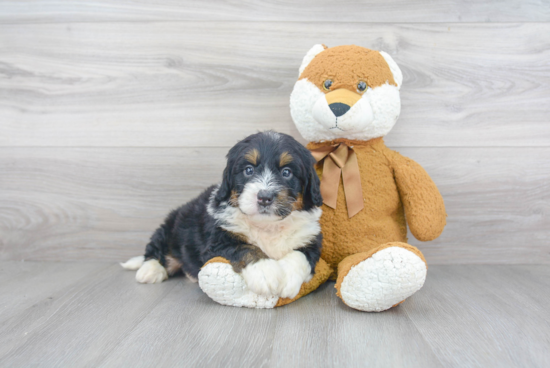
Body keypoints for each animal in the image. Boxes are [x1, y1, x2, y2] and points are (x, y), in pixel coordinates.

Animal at [121, 132, 324, 300]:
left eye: (286, 172)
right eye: (248, 170)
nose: (265, 197)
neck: (268, 226)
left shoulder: (311, 238)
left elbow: (299, 256)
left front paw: (288, 279)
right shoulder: (218, 241)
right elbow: (246, 248)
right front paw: (265, 272)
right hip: (171, 225)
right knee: (156, 248)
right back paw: (149, 270)